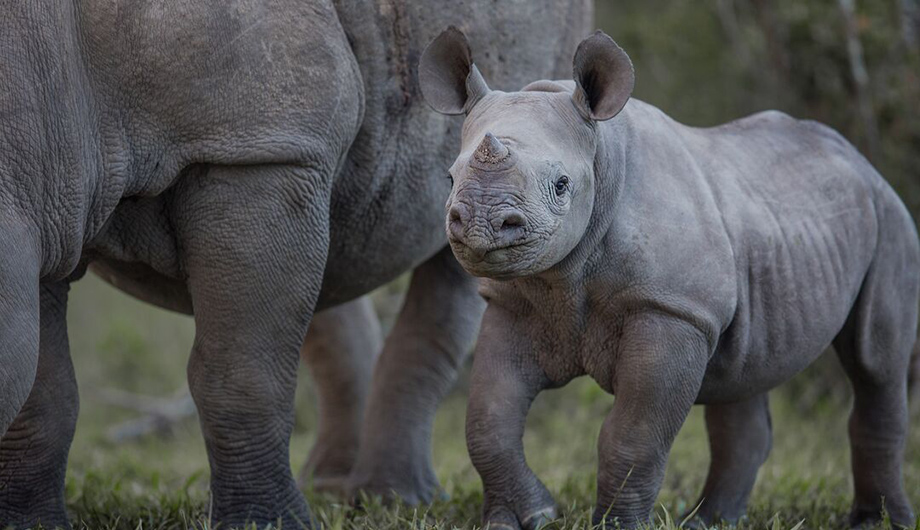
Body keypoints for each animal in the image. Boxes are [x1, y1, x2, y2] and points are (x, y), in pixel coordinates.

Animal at [0, 2, 588, 524]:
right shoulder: (49, 203)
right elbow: (44, 392)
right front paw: (31, 523)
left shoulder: (259, 148)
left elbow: (241, 368)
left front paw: (264, 523)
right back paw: (333, 490)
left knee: (459, 255)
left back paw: (393, 501)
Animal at [418, 29, 920, 528]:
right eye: (449, 179)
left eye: (561, 185)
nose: (480, 224)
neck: (602, 155)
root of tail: (860, 161)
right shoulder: (514, 302)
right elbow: (488, 417)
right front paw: (528, 517)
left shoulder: (673, 309)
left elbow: (633, 433)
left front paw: (615, 525)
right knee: (744, 371)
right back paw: (711, 521)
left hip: (889, 216)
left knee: (875, 364)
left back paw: (879, 521)